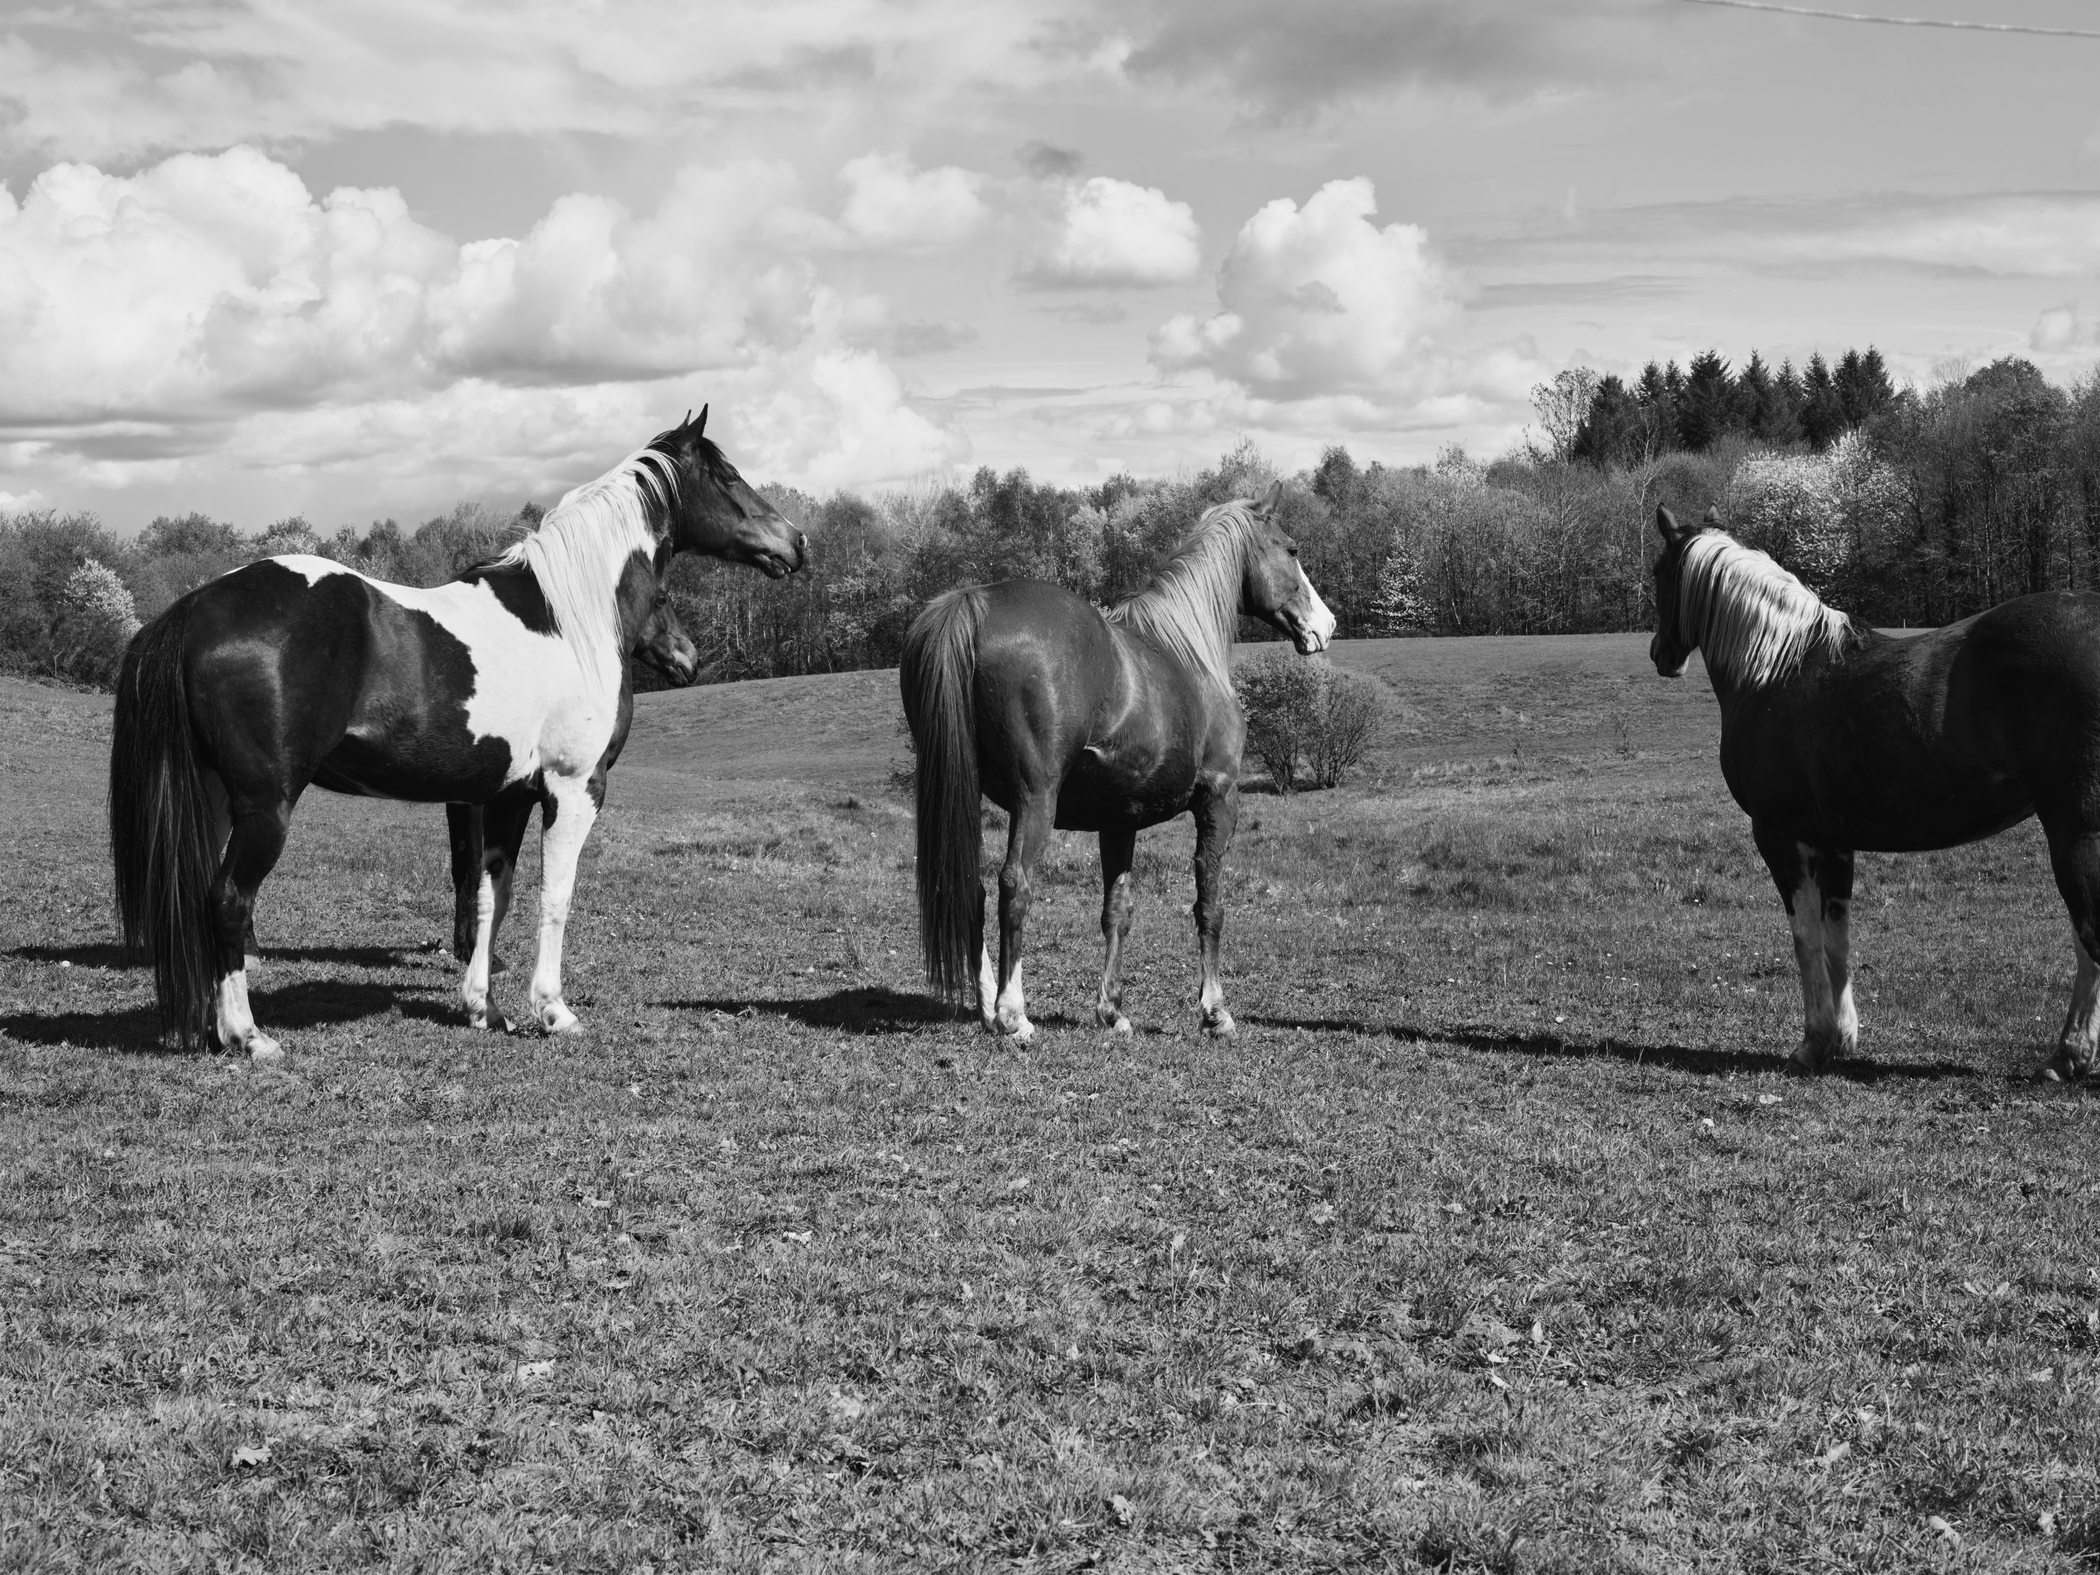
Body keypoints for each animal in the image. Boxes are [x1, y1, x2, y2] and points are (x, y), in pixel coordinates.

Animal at [111, 409, 806, 1061]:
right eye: (728, 475)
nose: (797, 542)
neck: (566, 618)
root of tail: (195, 606)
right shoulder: (575, 790)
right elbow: (555, 897)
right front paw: (553, 1011)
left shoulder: (505, 797)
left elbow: (490, 896)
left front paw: (483, 1008)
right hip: (264, 808)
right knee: (229, 900)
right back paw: (248, 1036)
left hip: (215, 801)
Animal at [900, 482, 1336, 1042]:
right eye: (1292, 549)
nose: (1326, 625)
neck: (1189, 649)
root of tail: (973, 601)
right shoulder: (1219, 798)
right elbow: (1210, 904)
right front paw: (1215, 1011)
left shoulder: (1119, 820)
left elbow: (1118, 910)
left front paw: (1112, 1010)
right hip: (1034, 800)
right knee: (1014, 884)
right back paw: (1012, 1014)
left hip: (963, 795)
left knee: (968, 889)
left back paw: (985, 1005)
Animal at [1650, 503, 2100, 1078]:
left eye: (1659, 574)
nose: (1661, 654)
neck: (1777, 668)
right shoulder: (1834, 844)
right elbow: (1837, 940)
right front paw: (1841, 1040)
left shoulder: (1779, 836)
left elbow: (1804, 936)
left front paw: (1813, 1043)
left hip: (2075, 834)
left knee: (2089, 934)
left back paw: (2068, 1056)